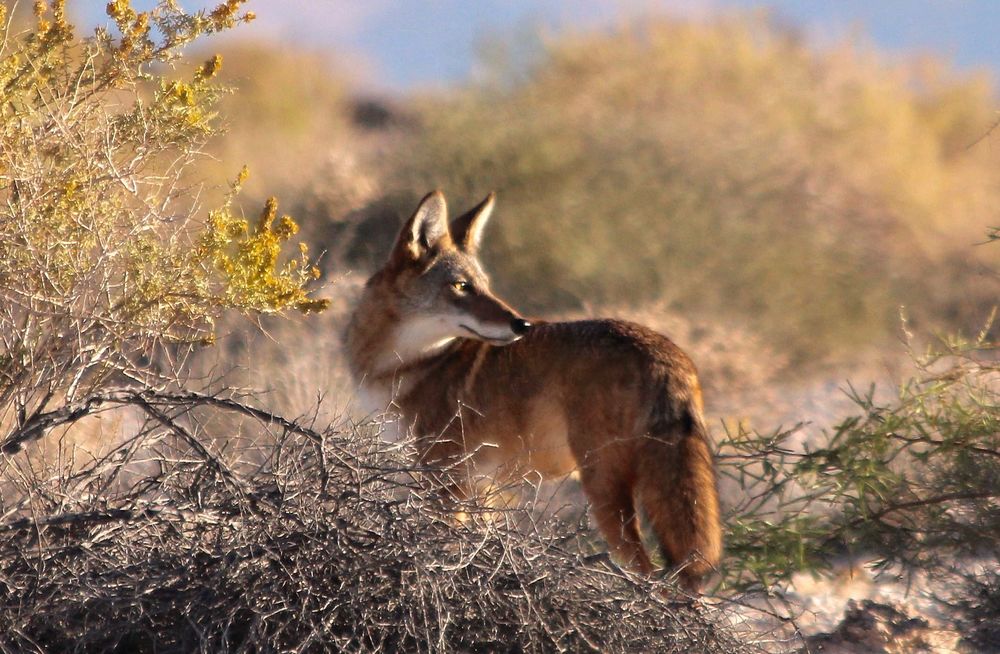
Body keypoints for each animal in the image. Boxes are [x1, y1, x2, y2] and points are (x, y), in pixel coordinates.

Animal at [345, 190, 722, 591]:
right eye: (462, 286)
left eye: (485, 285)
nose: (521, 324)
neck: (408, 363)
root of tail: (667, 353)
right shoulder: (482, 486)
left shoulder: (447, 479)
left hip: (604, 493)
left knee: (647, 571)